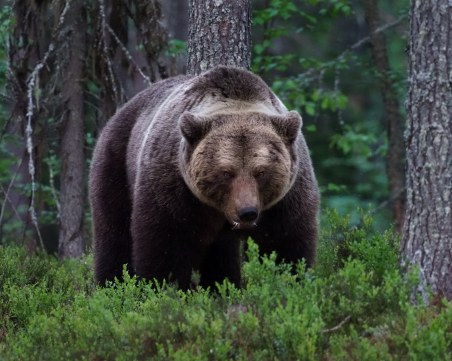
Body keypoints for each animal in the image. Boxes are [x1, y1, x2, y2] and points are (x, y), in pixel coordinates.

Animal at [89, 66, 318, 288]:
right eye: (226, 172)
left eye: (261, 171)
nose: (247, 212)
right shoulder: (175, 189)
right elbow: (165, 245)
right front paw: (162, 287)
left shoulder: (286, 197)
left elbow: (287, 244)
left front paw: (290, 280)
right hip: (116, 162)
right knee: (114, 233)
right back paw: (111, 284)